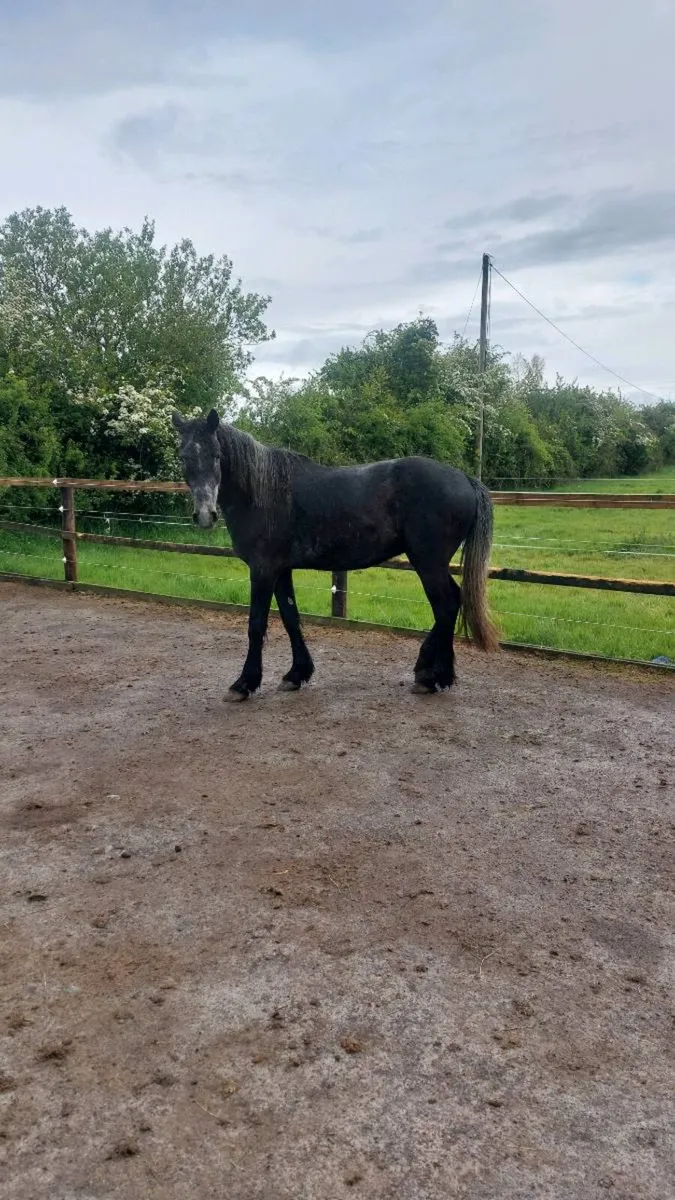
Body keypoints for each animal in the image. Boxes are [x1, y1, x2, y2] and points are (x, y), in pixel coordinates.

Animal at [172, 409, 499, 700]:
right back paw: (431, 672)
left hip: (428, 562)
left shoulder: (263, 569)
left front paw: (244, 684)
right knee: (452, 602)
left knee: (445, 606)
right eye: (184, 457)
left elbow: (256, 624)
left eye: (216, 455)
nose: (205, 515)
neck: (263, 493)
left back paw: (433, 678)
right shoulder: (281, 570)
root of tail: (465, 479)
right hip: (433, 563)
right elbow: (291, 617)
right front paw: (296, 674)